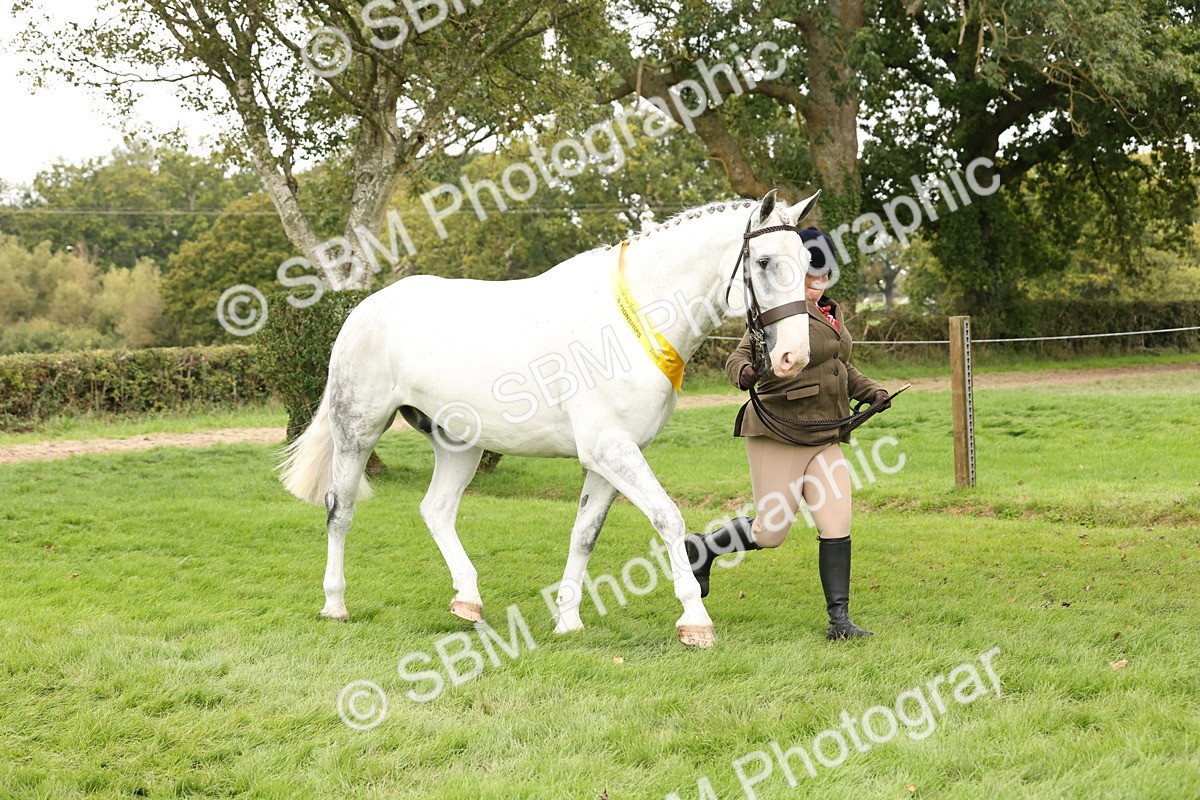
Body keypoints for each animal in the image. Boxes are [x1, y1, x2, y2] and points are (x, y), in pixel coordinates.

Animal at [279, 189, 820, 647]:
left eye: (806, 262)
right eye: (765, 262)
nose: (793, 357)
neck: (632, 323)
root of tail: (362, 311)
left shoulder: (609, 458)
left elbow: (584, 534)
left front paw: (568, 619)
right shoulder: (611, 449)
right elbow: (667, 516)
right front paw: (695, 621)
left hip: (460, 444)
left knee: (436, 510)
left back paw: (468, 601)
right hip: (358, 430)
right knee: (340, 508)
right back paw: (335, 604)